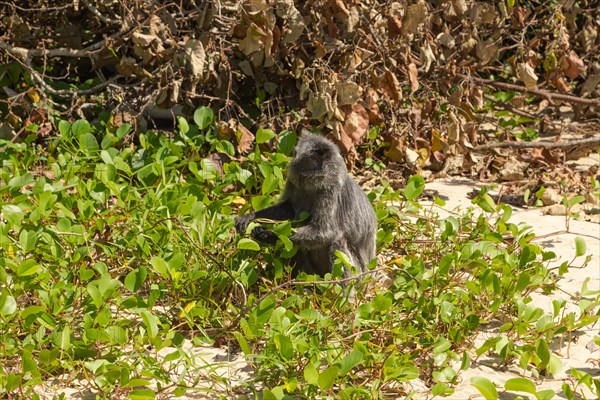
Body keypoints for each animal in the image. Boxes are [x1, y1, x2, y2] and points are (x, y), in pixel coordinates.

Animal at [233, 131, 376, 278]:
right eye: (315, 158)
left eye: (325, 159)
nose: (323, 168)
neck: (312, 184)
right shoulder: (293, 182)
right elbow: (288, 209)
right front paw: (251, 216)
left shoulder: (331, 189)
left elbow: (326, 232)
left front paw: (271, 235)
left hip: (358, 271)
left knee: (337, 241)